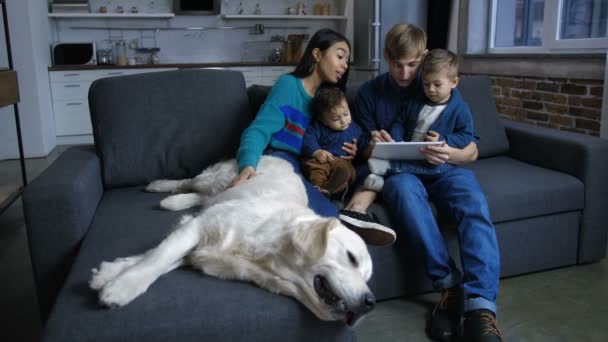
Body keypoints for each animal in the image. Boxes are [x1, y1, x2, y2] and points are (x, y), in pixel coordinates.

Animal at [90, 156, 376, 324]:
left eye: (367, 278)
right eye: (351, 257)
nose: (370, 303)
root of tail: (275, 156)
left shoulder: (198, 246)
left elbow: (158, 257)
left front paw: (110, 273)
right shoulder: (198, 227)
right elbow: (158, 257)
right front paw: (122, 286)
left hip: (218, 192)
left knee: (200, 197)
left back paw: (174, 201)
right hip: (215, 178)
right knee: (188, 182)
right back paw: (161, 187)